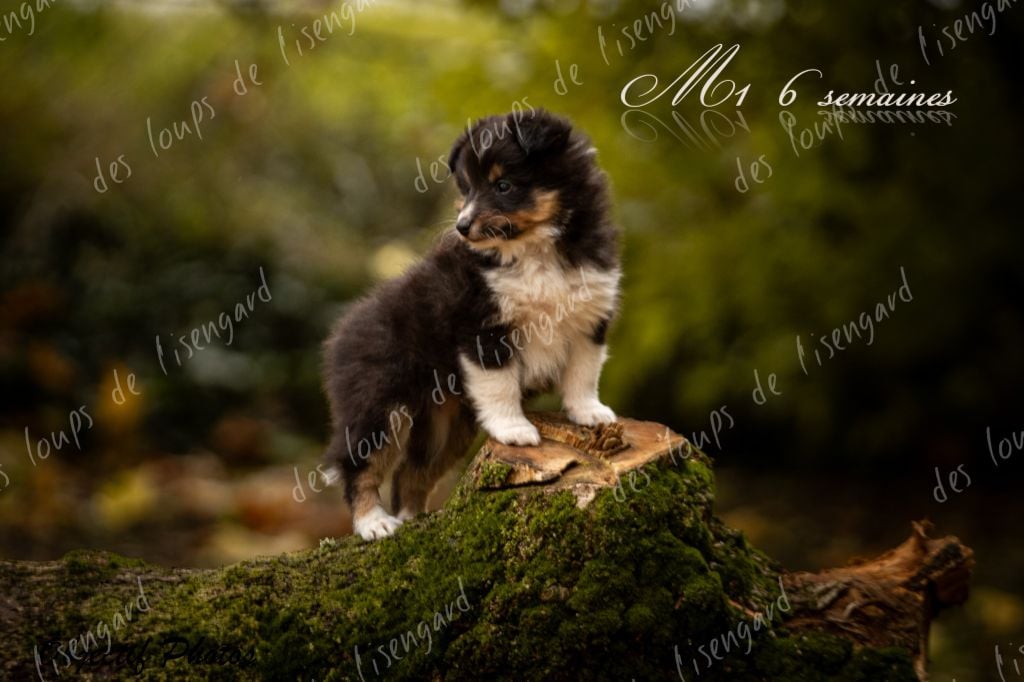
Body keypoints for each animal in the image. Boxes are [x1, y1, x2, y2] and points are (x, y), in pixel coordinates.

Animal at [323, 109, 618, 540]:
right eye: (466, 187)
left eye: (503, 185)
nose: (462, 227)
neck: (534, 249)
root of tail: (341, 334)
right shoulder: (482, 326)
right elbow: (500, 385)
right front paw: (515, 430)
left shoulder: (589, 316)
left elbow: (584, 373)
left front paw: (590, 413)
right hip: (379, 402)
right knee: (359, 464)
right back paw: (374, 524)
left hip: (446, 425)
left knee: (413, 472)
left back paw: (412, 519)